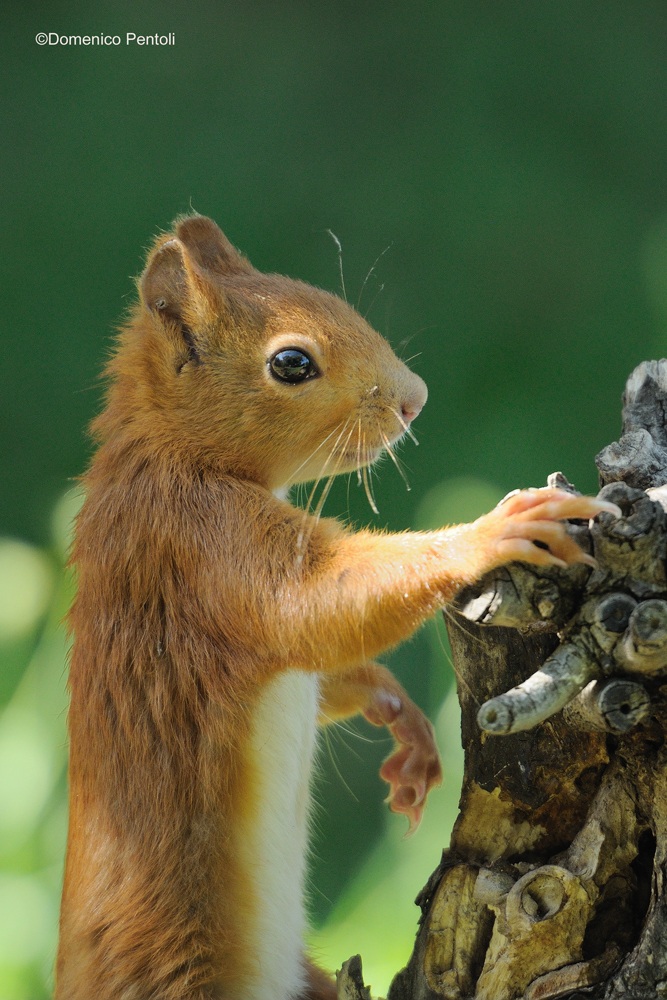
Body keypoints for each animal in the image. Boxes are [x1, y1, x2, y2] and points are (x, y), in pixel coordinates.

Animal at [55, 214, 619, 1000]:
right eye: (291, 363)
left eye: (328, 296)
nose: (414, 398)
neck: (165, 454)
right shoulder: (199, 547)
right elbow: (320, 604)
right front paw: (487, 532)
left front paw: (397, 714)